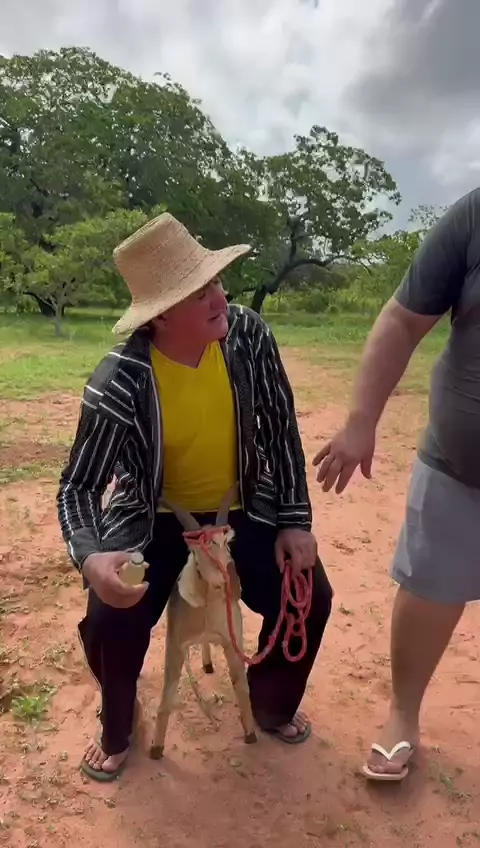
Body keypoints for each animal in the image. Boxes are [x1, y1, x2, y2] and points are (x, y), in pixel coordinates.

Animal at [150, 485, 257, 759]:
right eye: (197, 553)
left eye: (225, 543)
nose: (223, 579)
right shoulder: (175, 644)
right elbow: (166, 697)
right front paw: (155, 749)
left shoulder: (233, 640)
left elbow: (241, 687)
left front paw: (251, 734)